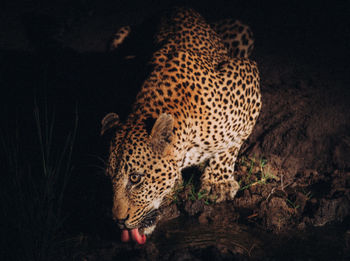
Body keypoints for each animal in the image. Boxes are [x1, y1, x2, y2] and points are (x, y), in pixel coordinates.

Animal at [100, 7, 260, 245]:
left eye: (136, 178)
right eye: (109, 178)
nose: (118, 221)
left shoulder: (247, 75)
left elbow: (233, 143)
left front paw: (218, 183)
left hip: (243, 30)